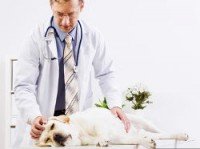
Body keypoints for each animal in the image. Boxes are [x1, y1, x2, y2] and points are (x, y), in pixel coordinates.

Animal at [36, 107, 188, 148]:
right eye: (48, 141)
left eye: (52, 125)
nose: (56, 137)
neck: (80, 134)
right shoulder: (122, 139)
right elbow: (135, 140)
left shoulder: (96, 123)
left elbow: (100, 130)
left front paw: (102, 139)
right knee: (152, 135)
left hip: (143, 121)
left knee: (161, 132)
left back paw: (181, 135)